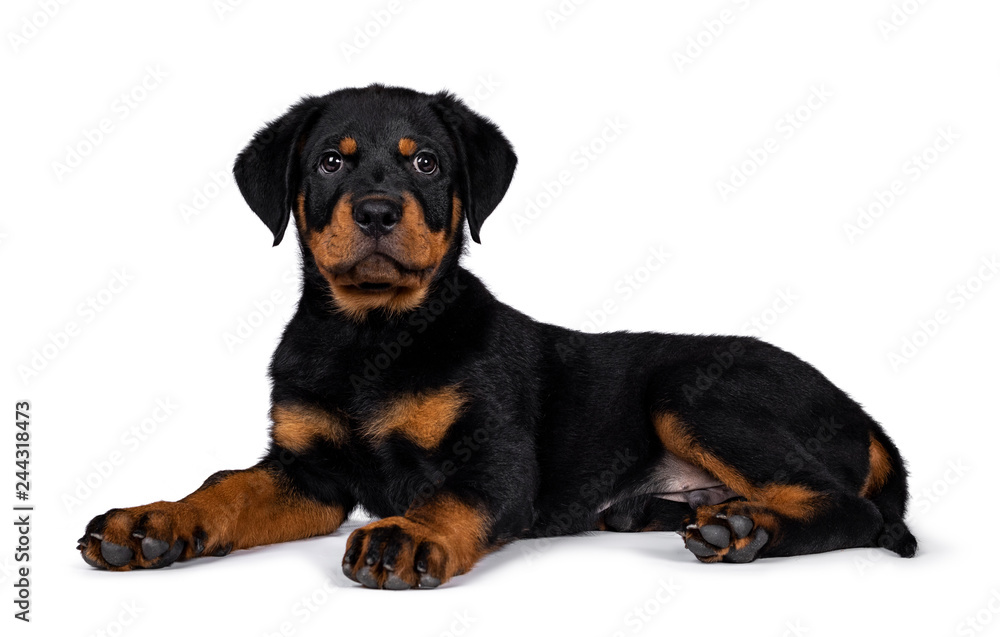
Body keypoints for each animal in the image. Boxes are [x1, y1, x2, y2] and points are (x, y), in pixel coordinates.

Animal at [82, 83, 916, 588]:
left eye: (426, 162)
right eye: (328, 162)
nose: (378, 210)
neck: (371, 337)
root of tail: (865, 414)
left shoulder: (499, 457)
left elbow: (452, 495)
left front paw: (404, 535)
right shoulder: (307, 471)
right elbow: (228, 485)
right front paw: (153, 522)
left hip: (695, 389)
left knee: (854, 508)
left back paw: (747, 529)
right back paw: (671, 514)